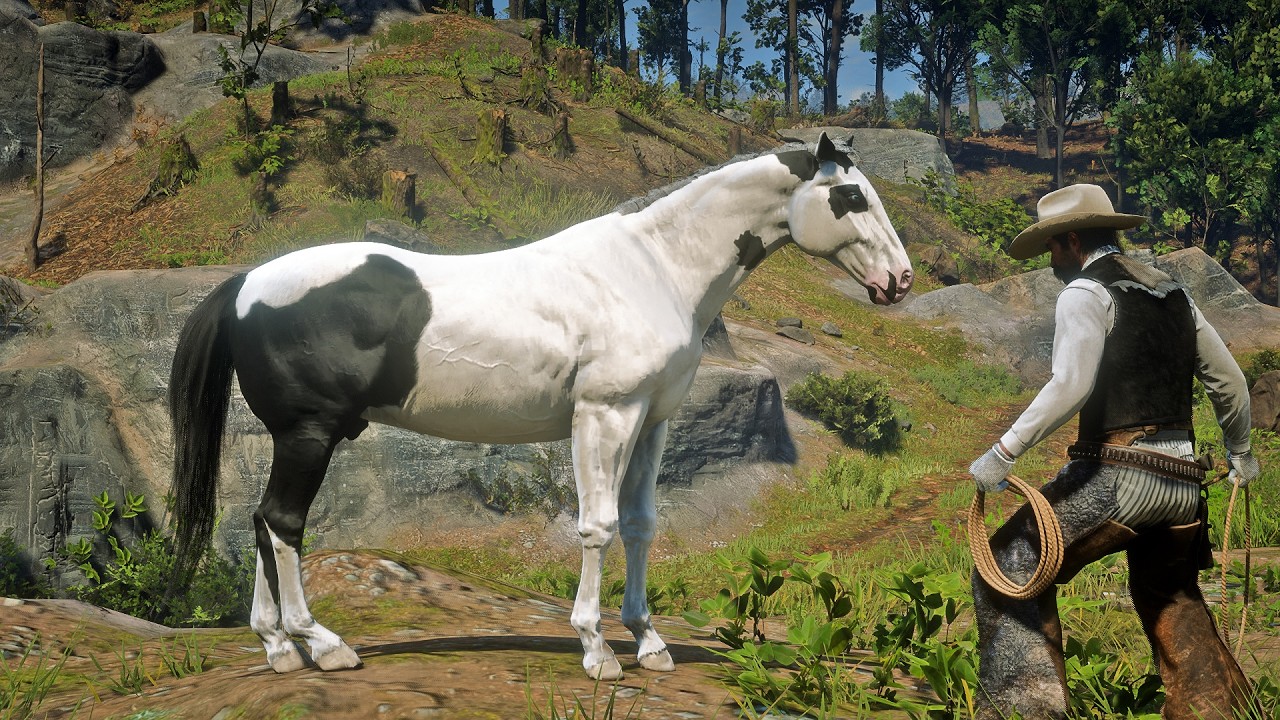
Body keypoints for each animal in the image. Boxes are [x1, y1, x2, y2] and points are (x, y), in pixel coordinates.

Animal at [168, 132, 913, 681]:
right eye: (850, 195)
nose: (900, 281)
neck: (653, 268)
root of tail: (243, 285)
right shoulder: (604, 414)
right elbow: (597, 527)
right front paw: (596, 650)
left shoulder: (653, 421)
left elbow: (641, 525)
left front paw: (649, 642)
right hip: (309, 435)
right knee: (283, 525)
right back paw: (321, 645)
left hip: (295, 439)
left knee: (258, 523)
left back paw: (277, 649)